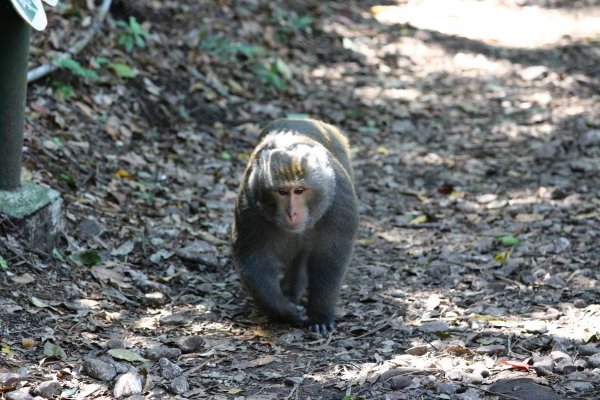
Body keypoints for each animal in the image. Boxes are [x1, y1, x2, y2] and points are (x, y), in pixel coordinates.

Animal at [232, 118, 358, 334]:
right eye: (282, 192)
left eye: (299, 191)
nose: (292, 213)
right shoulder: (249, 201)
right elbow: (254, 258)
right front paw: (285, 310)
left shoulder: (340, 199)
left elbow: (331, 258)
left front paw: (320, 314)